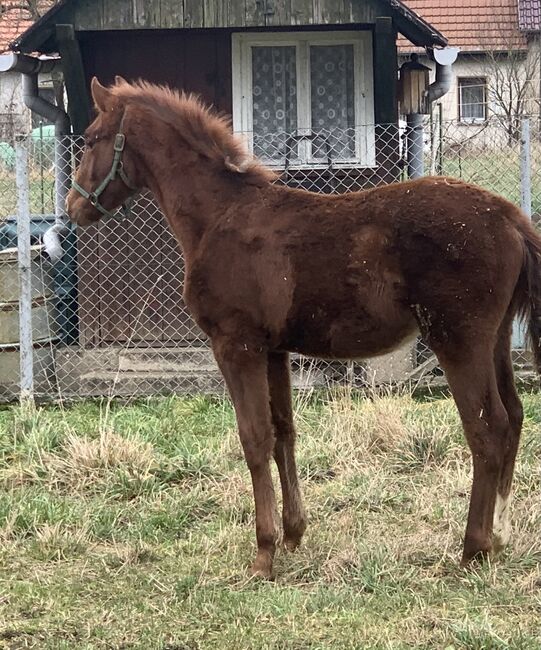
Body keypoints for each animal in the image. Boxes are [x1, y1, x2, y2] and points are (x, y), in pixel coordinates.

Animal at [67, 77, 540, 576]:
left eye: (92, 139)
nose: (74, 205)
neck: (220, 216)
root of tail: (510, 217)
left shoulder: (236, 346)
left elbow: (254, 438)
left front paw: (263, 552)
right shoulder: (274, 350)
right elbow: (283, 433)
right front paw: (293, 534)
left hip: (459, 342)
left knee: (487, 431)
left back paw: (473, 548)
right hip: (495, 341)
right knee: (513, 419)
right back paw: (500, 536)